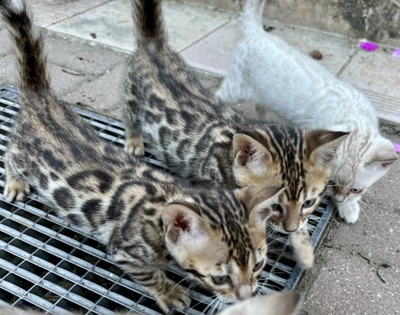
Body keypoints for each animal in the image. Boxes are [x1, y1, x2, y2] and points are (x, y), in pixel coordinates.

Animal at [0, 0, 288, 314]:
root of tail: (41, 99)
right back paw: (15, 183)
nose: (247, 295)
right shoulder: (125, 252)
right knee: (10, 156)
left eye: (259, 265)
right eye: (220, 278)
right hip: (24, 153)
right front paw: (169, 292)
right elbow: (150, 275)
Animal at [123, 0, 348, 270]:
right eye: (275, 206)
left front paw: (303, 248)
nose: (290, 228)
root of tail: (153, 46)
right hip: (131, 100)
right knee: (129, 116)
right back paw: (133, 141)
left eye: (308, 203)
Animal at [217, 0, 398, 225]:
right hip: (235, 89)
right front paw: (345, 206)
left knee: (260, 107)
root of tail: (256, 32)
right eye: (331, 183)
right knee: (218, 95)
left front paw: (349, 205)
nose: (339, 198)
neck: (352, 115)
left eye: (356, 189)